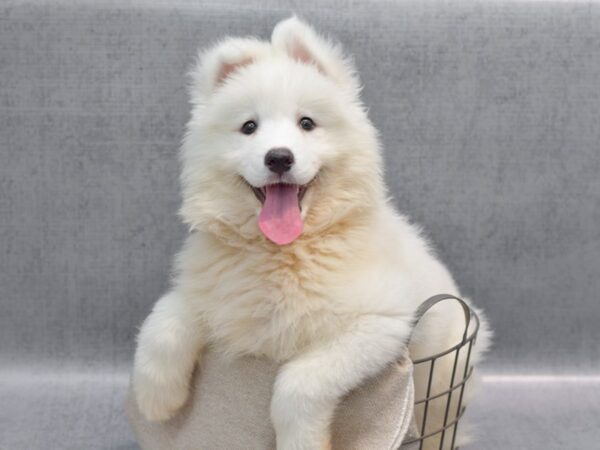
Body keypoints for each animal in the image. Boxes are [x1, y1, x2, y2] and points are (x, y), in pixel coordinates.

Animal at [131, 16, 488, 450]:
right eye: (249, 127)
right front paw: (155, 399)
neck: (285, 250)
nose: (279, 157)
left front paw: (301, 440)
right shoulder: (213, 291)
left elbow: (299, 380)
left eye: (307, 123)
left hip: (442, 375)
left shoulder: (380, 322)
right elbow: (164, 317)